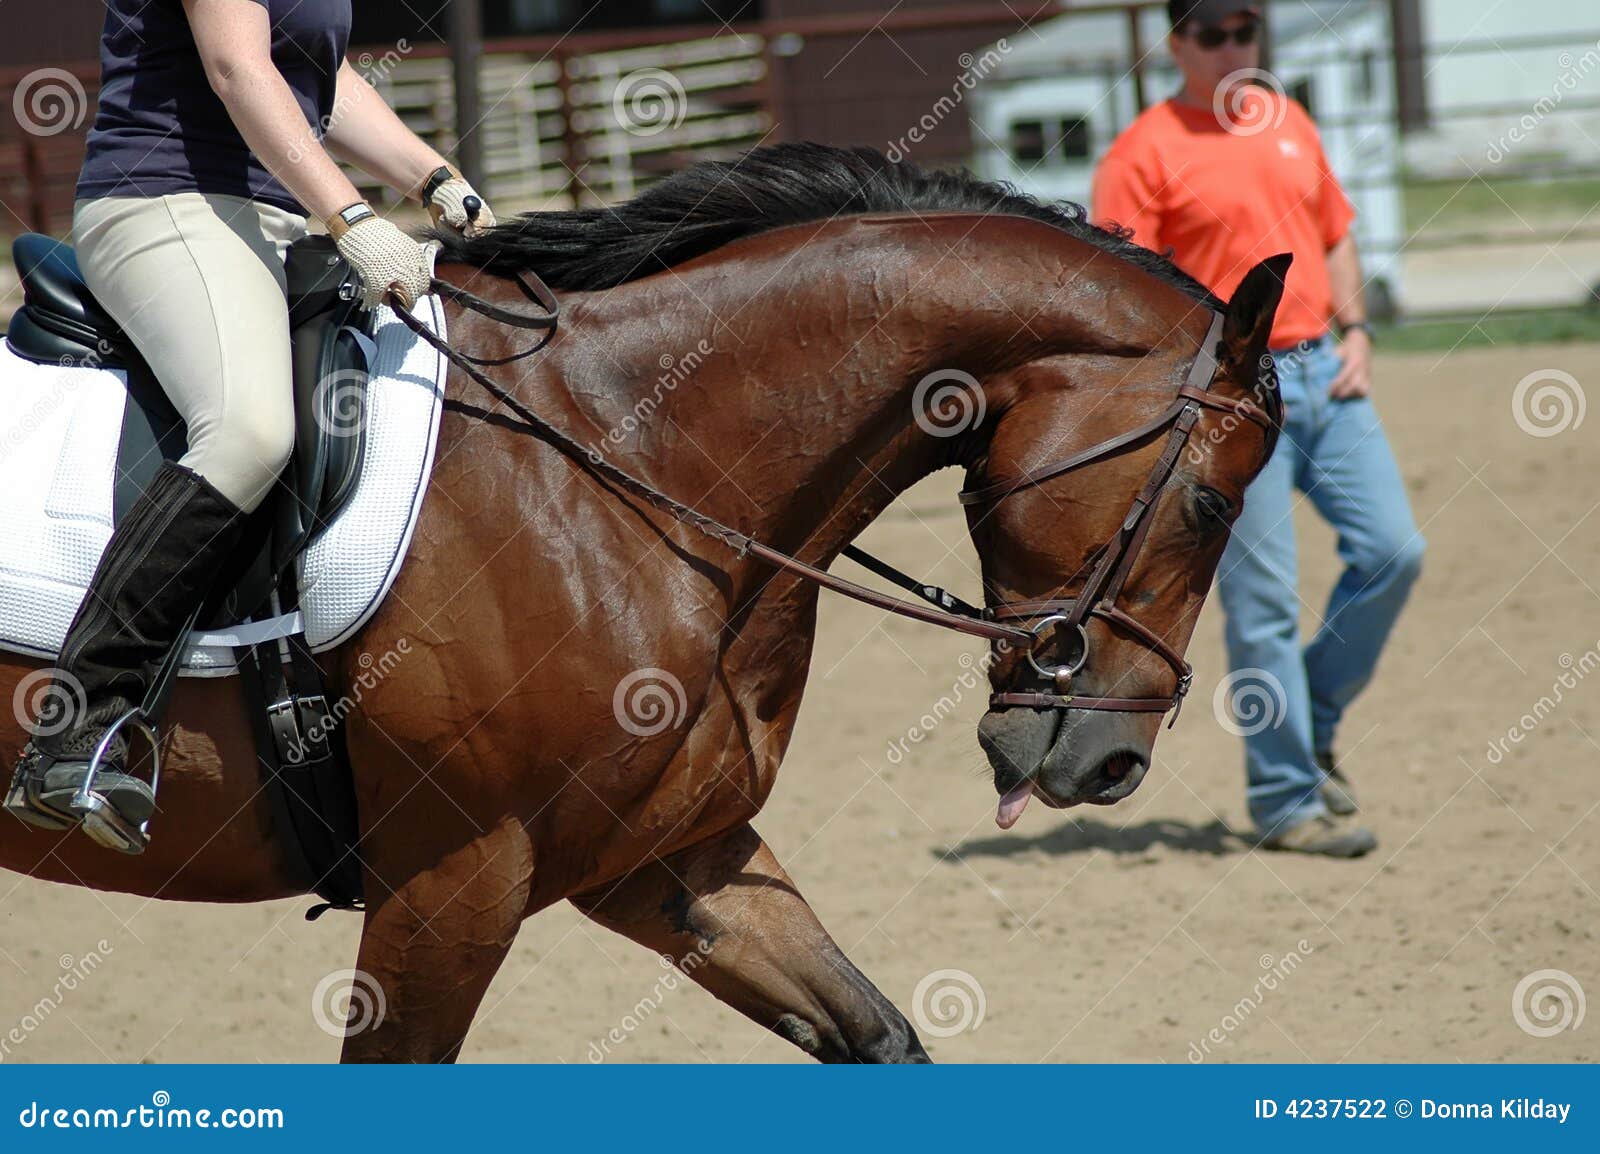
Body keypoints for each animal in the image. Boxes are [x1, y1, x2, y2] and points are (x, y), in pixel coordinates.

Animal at [0, 143, 1286, 1062]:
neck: (622, 445)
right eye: (1212, 502)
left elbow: (877, 1032)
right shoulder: (452, 878)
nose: (1111, 764)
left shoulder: (665, 855)